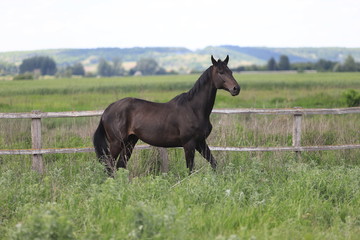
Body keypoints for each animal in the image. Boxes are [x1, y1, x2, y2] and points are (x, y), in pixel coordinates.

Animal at [93, 55, 240, 176]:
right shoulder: (189, 144)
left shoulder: (200, 142)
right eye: (220, 72)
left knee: (120, 165)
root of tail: (107, 110)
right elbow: (190, 169)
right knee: (109, 165)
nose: (236, 89)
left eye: (231, 71)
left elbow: (214, 163)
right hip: (116, 142)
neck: (194, 109)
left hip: (129, 142)